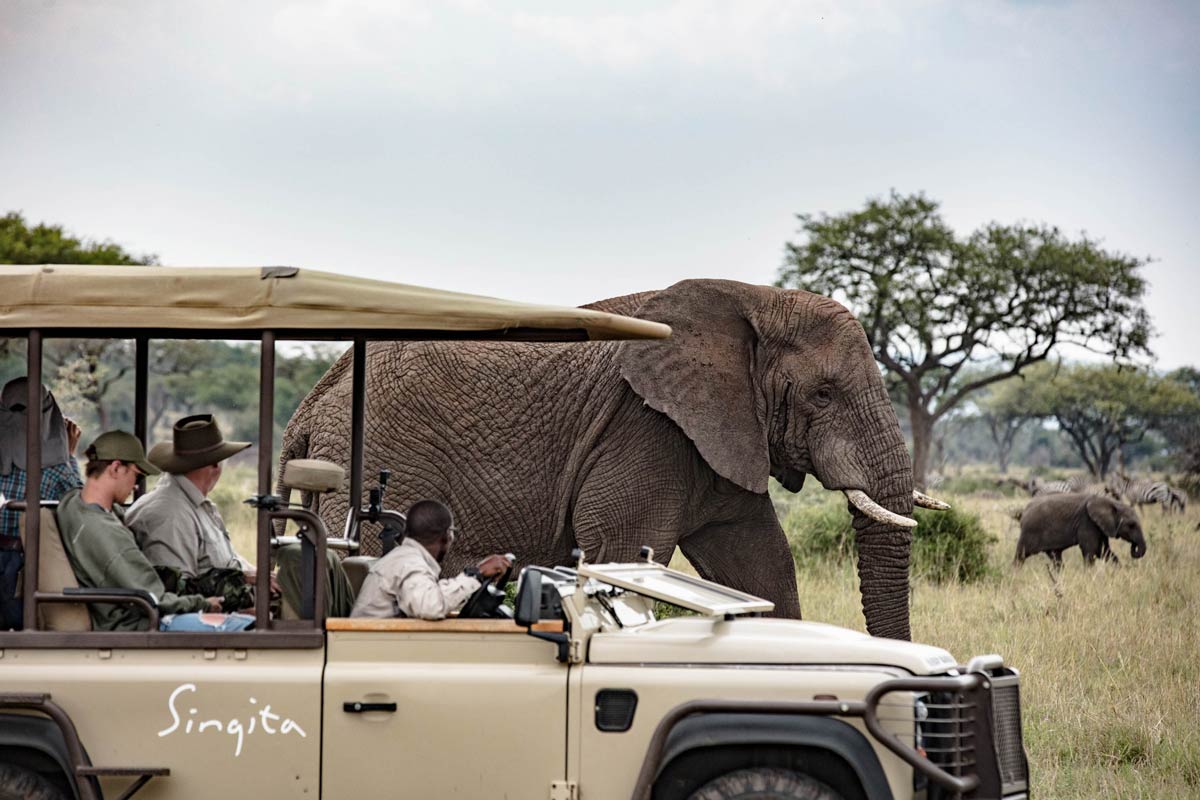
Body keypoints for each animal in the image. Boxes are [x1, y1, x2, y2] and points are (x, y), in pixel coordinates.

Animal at [276, 278, 940, 642]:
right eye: (823, 395)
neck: (753, 299)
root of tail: (310, 405)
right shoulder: (645, 429)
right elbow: (623, 554)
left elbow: (762, 564)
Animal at [1017, 494, 1147, 568]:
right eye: (1131, 525)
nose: (1134, 546)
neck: (1111, 502)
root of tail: (1024, 511)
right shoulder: (1087, 523)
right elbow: (1091, 551)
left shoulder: (1100, 526)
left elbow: (1104, 552)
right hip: (1029, 531)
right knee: (1020, 555)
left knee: (1056, 558)